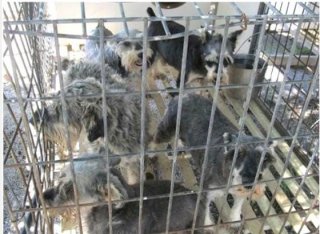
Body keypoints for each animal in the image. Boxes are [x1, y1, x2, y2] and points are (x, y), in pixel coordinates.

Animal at [154, 93, 276, 230]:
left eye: (265, 157)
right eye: (237, 154)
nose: (249, 181)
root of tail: (183, 95)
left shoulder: (240, 192)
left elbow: (237, 205)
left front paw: (235, 220)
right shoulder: (206, 190)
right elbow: (205, 209)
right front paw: (207, 224)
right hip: (165, 129)